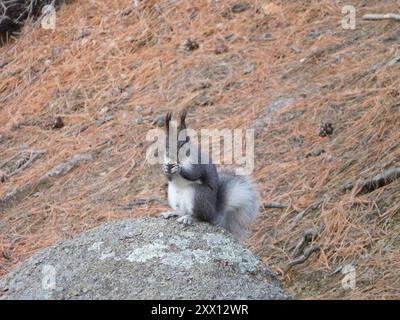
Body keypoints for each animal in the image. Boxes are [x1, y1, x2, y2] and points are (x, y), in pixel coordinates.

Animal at [159, 111, 260, 239]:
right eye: (166, 144)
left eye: (182, 143)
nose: (171, 155)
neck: (180, 160)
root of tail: (213, 214)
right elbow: (169, 177)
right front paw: (165, 168)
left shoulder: (198, 163)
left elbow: (194, 173)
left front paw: (179, 168)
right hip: (172, 195)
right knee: (182, 211)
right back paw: (172, 213)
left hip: (198, 194)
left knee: (201, 217)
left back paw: (189, 218)